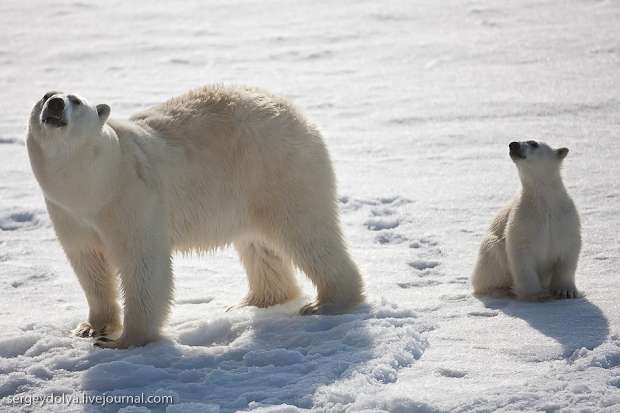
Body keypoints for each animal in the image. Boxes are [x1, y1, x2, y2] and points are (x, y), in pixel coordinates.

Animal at [27, 86, 364, 348]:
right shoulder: (68, 213)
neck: (94, 182)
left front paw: (125, 341)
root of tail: (297, 112)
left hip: (277, 169)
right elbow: (89, 265)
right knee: (259, 245)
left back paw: (326, 303)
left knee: (307, 232)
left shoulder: (131, 198)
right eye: (44, 95)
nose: (54, 103)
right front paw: (90, 328)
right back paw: (254, 301)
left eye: (75, 100)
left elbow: (142, 264)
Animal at [472, 141, 584, 300]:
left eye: (533, 143)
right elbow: (521, 255)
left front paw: (566, 291)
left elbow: (568, 251)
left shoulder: (564, 219)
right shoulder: (523, 221)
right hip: (490, 249)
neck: (545, 202)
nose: (513, 144)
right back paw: (499, 290)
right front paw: (535, 294)